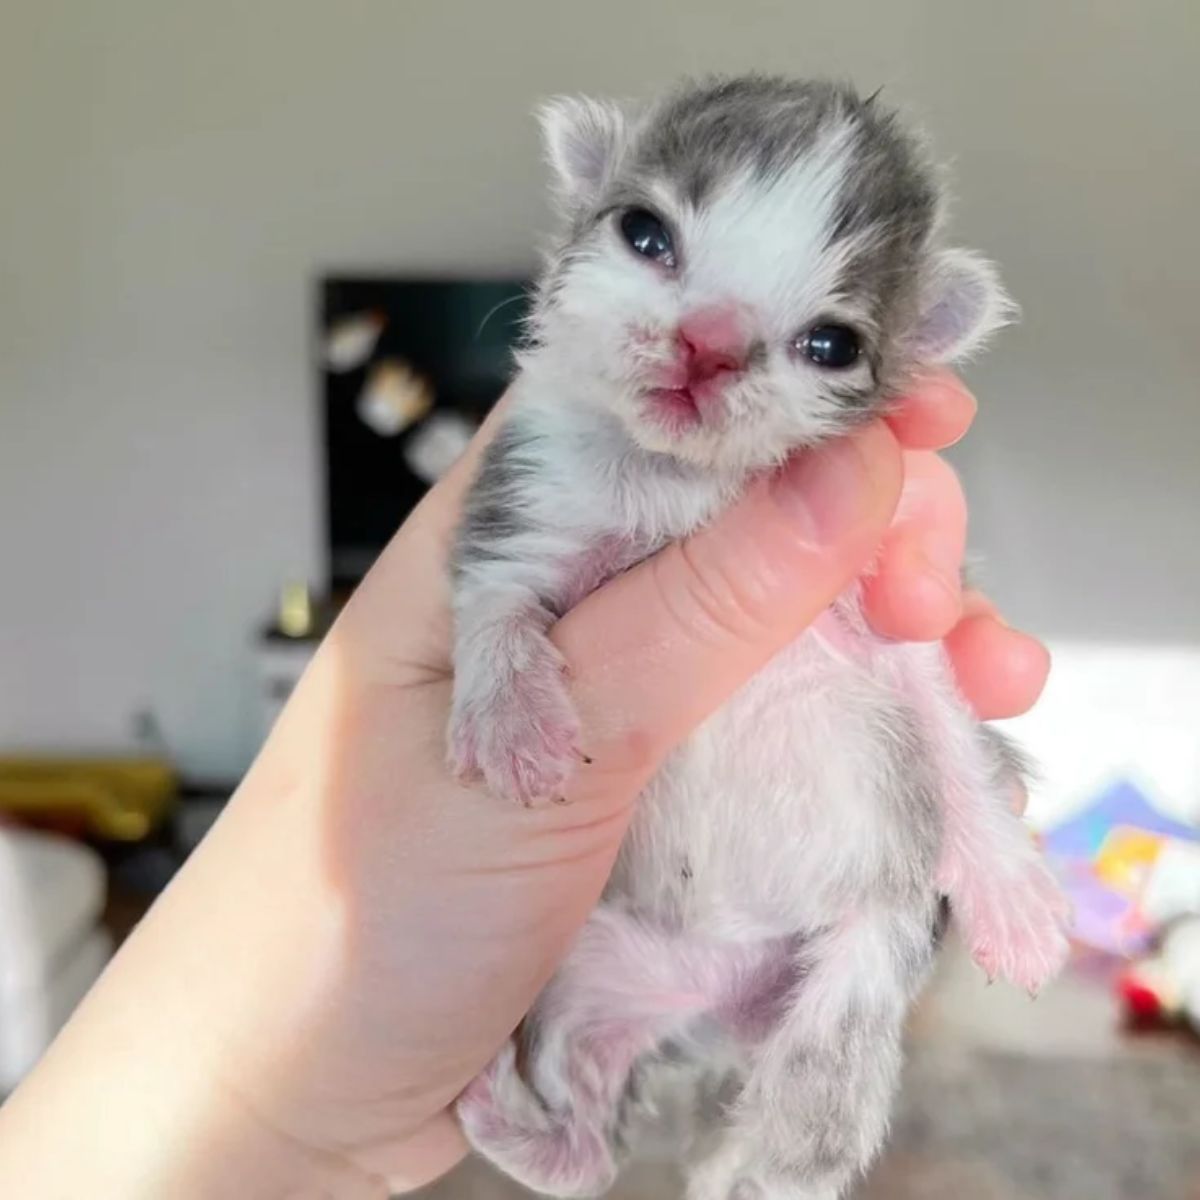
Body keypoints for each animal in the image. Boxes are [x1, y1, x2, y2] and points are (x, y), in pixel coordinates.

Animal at [448, 77, 1070, 1200]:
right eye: (644, 233)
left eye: (832, 344)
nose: (708, 342)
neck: (683, 486)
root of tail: (717, 1024)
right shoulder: (528, 499)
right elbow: (497, 601)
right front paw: (514, 721)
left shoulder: (897, 597)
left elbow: (953, 733)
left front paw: (1011, 892)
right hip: (590, 965)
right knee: (594, 1146)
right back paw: (517, 1125)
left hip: (862, 959)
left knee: (811, 1105)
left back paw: (759, 1161)